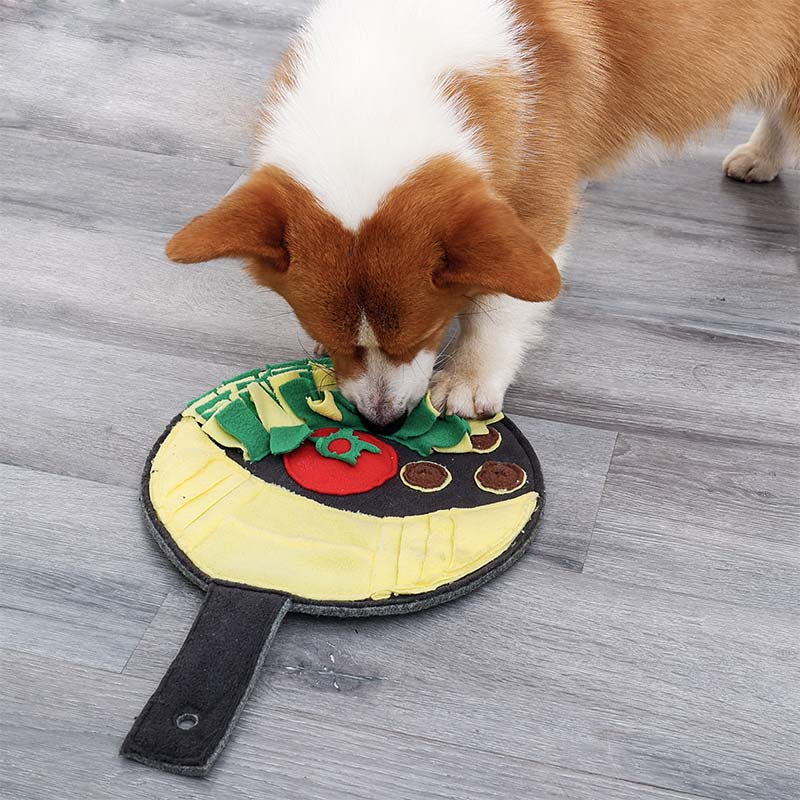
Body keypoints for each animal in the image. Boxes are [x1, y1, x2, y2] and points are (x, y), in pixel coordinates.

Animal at [164, 0, 800, 428]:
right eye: (325, 334)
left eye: (425, 333)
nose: (382, 423)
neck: (385, 71)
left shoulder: (537, 215)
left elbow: (501, 307)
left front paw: (468, 382)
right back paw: (760, 158)